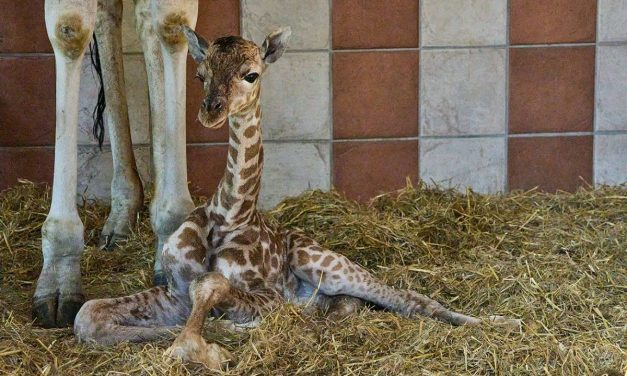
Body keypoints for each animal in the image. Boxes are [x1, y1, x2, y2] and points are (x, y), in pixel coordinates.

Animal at [73, 27, 520, 370]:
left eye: (251, 74)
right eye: (200, 74)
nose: (210, 112)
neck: (227, 213)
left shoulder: (268, 295)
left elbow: (214, 283)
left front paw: (198, 345)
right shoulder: (176, 289)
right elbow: (88, 313)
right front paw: (176, 335)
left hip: (325, 262)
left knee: (408, 298)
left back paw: (500, 323)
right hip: (327, 291)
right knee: (346, 306)